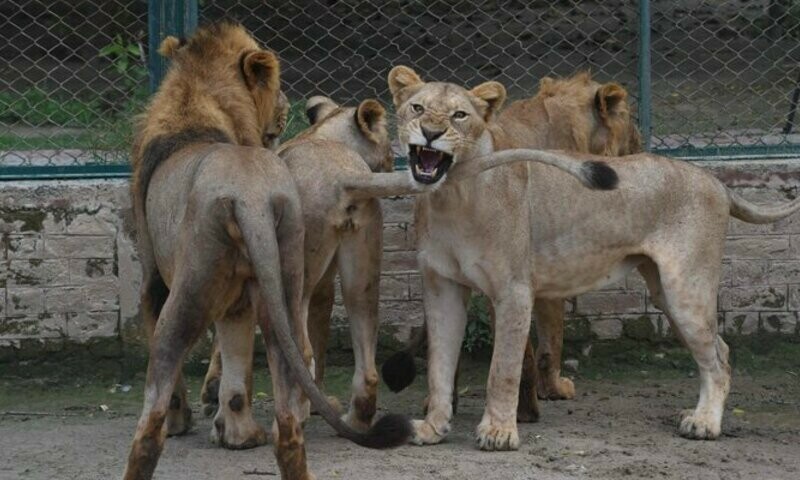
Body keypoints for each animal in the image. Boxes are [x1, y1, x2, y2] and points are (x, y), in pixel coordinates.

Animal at [122, 23, 411, 480]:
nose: (392, 162)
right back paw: (347, 417)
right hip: (353, 273)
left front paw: (202, 413)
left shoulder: (162, 282)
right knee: (357, 354)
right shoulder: (312, 284)